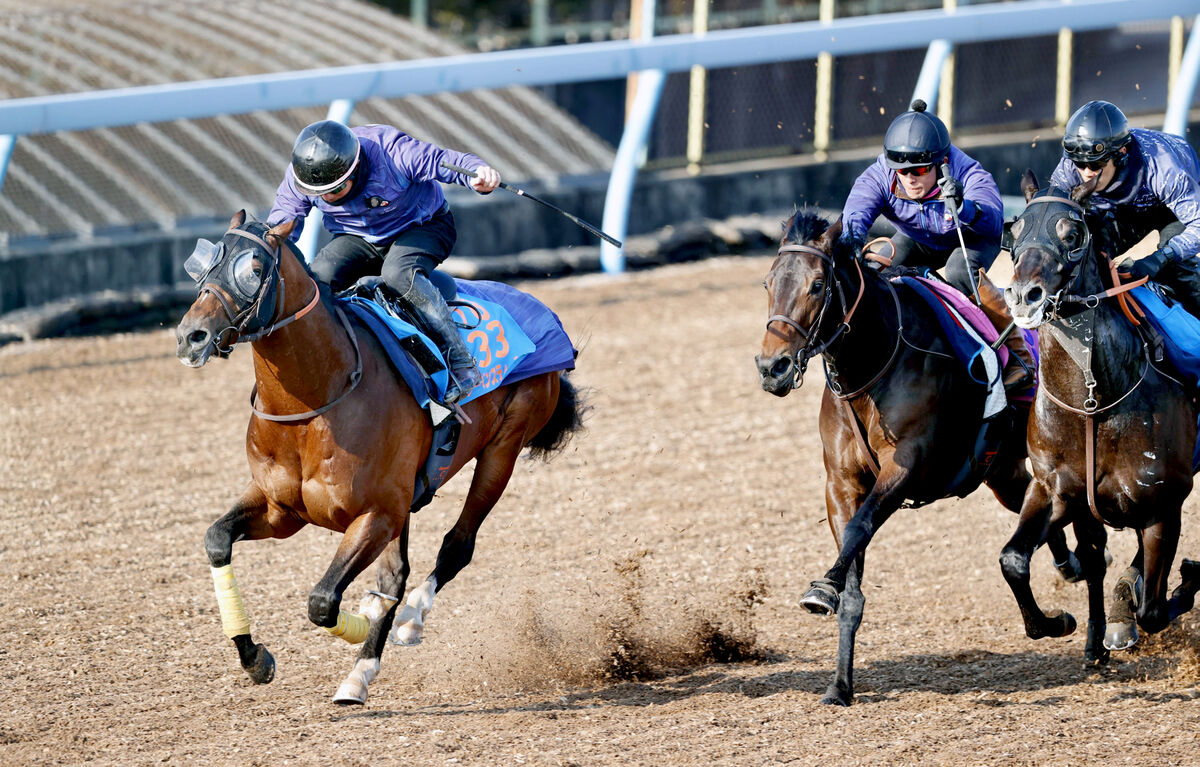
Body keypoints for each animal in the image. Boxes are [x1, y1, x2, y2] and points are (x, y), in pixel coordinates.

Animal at [175, 211, 583, 710]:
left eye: (254, 267)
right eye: (203, 262)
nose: (191, 336)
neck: (314, 405)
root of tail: (546, 317)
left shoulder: (376, 512)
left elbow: (323, 602)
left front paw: (364, 631)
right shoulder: (281, 510)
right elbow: (217, 539)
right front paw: (255, 658)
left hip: (502, 448)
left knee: (455, 547)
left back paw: (406, 623)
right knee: (396, 572)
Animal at [753, 208, 1084, 710]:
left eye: (817, 285)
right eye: (769, 282)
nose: (773, 368)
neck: (872, 369)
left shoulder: (907, 468)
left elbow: (860, 529)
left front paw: (822, 587)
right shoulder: (841, 483)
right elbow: (852, 573)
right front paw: (840, 682)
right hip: (1001, 473)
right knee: (1036, 506)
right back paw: (1065, 571)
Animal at [998, 172, 1195, 662]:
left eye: (1073, 234)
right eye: (1014, 231)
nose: (1023, 296)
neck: (1093, 404)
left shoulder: (1163, 505)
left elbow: (1154, 610)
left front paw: (1185, 580)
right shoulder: (1054, 490)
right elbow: (1014, 560)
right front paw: (1058, 623)